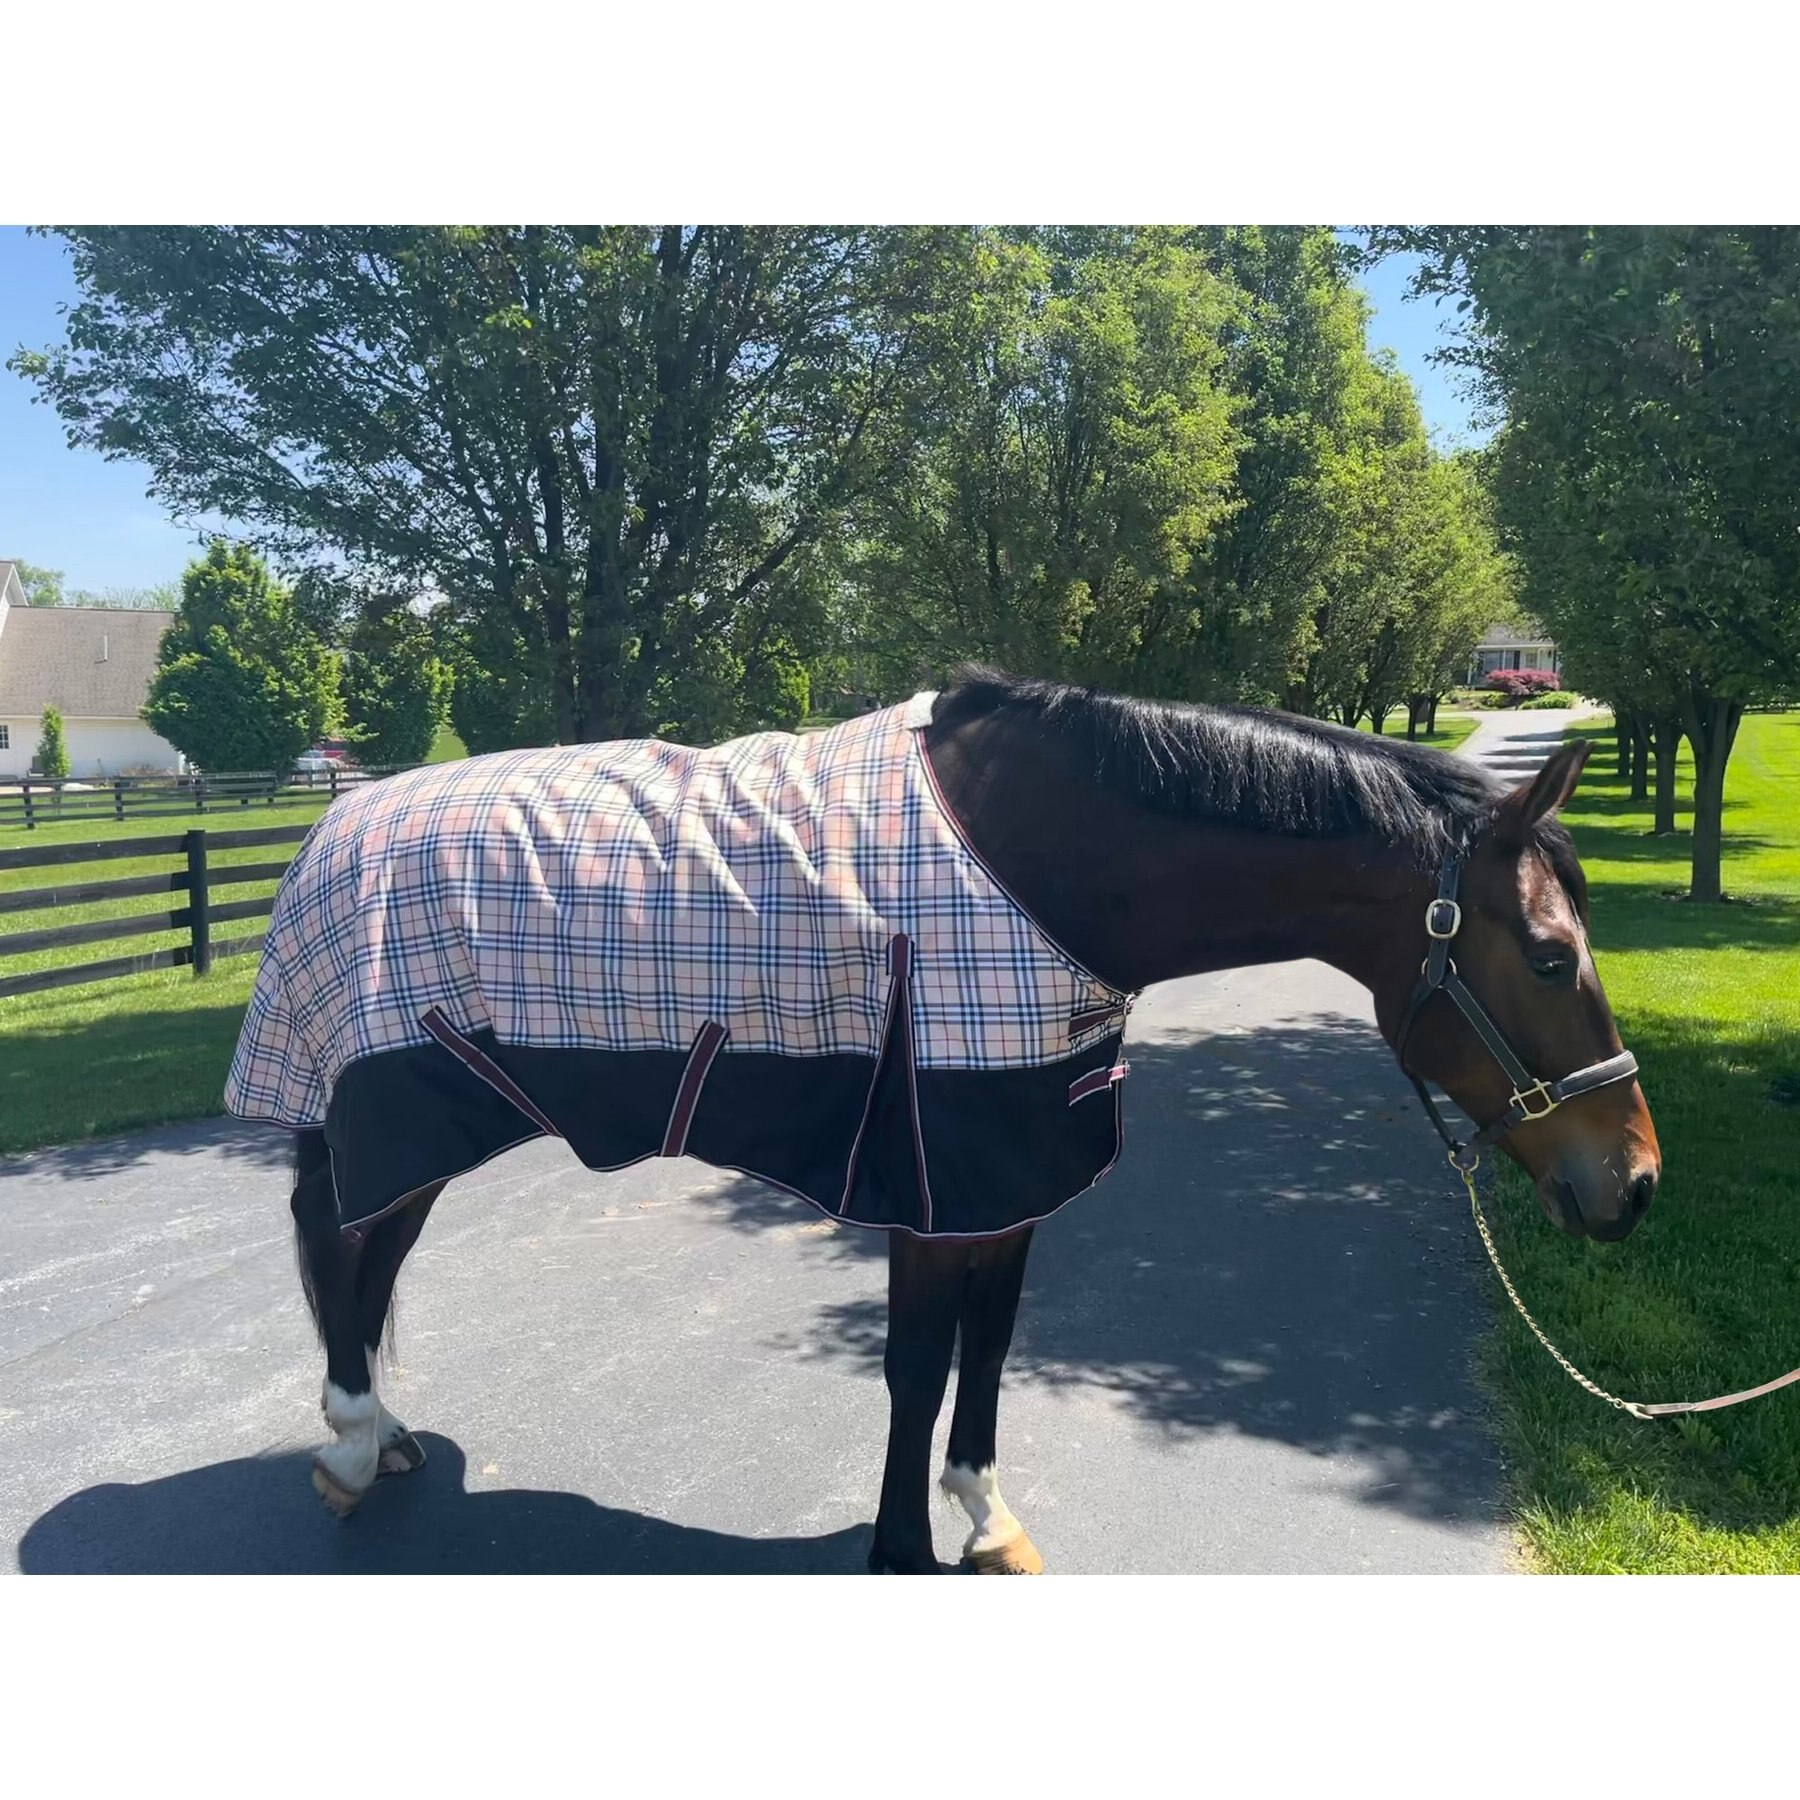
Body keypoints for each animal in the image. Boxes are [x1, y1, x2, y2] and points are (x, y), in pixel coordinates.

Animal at [240, 668, 1659, 1573]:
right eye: (1548, 957)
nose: (1633, 1181)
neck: (1038, 873)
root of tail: (334, 820)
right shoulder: (933, 1185)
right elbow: (917, 1366)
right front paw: (900, 1548)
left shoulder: (1012, 1179)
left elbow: (989, 1351)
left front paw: (984, 1519)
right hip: (394, 1112)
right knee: (337, 1243)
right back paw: (352, 1449)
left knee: (366, 1260)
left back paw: (384, 1437)